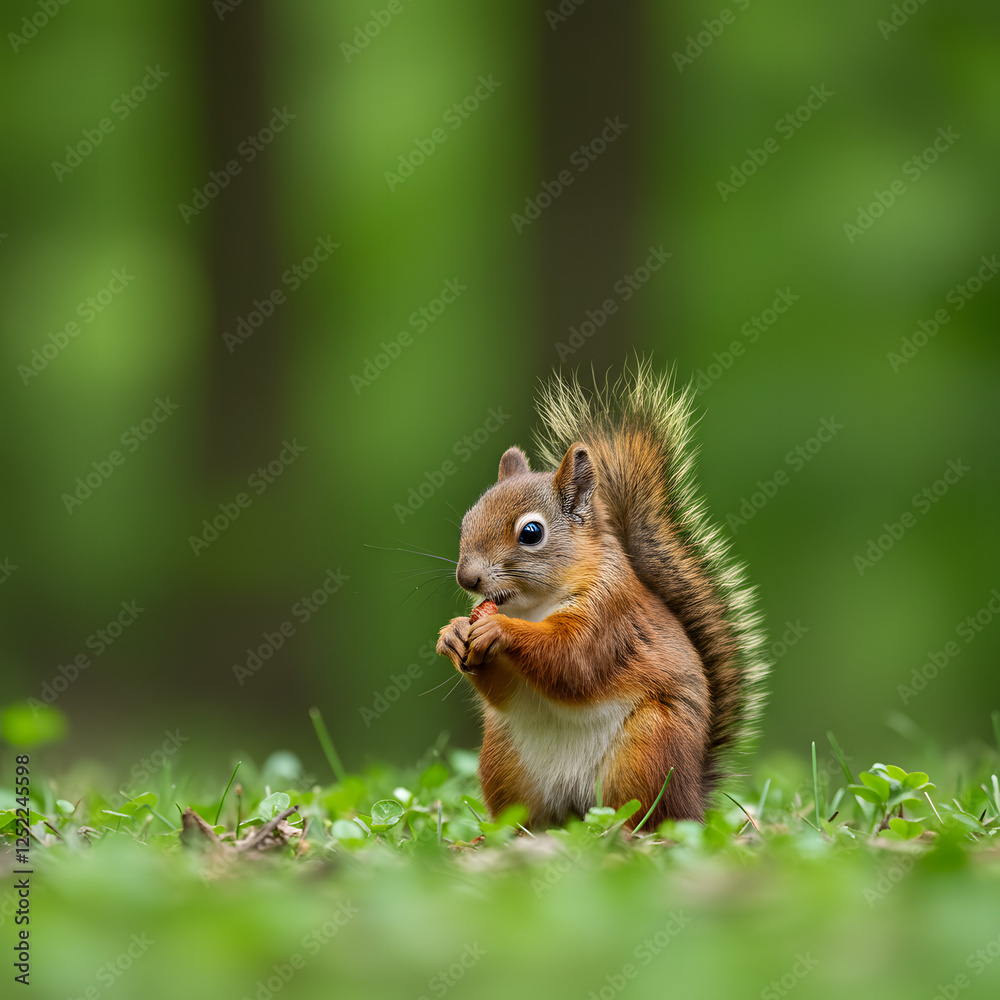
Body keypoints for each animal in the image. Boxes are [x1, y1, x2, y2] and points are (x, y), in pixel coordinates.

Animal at [435, 363, 769, 830]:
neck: (533, 606)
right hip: (504, 762)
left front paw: (500, 629)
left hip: (648, 750)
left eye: (531, 532)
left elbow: (572, 661)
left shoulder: (609, 617)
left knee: (647, 814)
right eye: (468, 520)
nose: (468, 579)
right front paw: (452, 634)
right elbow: (503, 691)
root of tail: (694, 798)